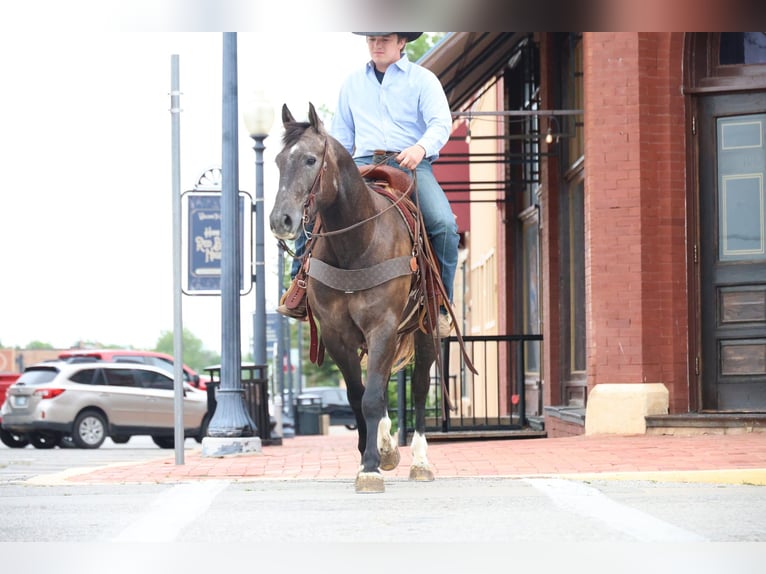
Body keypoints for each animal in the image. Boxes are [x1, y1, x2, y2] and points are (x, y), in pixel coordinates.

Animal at [270, 103, 443, 493]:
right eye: (277, 161)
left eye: (310, 160)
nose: (280, 220)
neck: (357, 243)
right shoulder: (337, 334)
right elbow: (356, 395)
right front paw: (372, 453)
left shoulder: (383, 327)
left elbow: (375, 396)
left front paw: (371, 466)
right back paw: (388, 446)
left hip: (424, 330)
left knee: (420, 387)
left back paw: (421, 462)